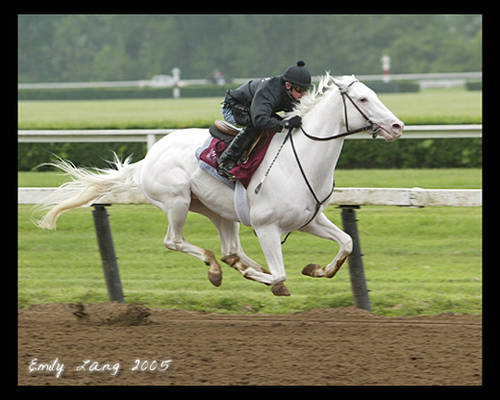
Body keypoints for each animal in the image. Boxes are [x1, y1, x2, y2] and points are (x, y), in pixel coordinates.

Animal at [36, 73, 402, 296]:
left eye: (374, 94)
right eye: (363, 100)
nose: (397, 126)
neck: (302, 161)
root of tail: (149, 157)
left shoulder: (308, 220)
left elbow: (346, 244)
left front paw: (315, 269)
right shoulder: (267, 226)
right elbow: (279, 274)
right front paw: (266, 279)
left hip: (220, 212)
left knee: (231, 251)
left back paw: (238, 264)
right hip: (177, 201)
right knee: (177, 241)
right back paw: (217, 269)